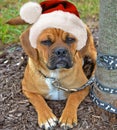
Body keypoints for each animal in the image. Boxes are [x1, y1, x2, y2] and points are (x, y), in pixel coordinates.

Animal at [7, 0, 97, 129]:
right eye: (46, 42)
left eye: (70, 39)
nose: (61, 51)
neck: (55, 76)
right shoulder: (27, 89)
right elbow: (38, 100)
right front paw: (47, 118)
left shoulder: (83, 87)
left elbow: (73, 98)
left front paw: (68, 117)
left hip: (90, 49)